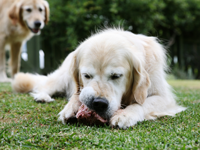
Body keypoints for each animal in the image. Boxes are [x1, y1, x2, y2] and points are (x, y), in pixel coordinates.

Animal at [12, 28, 186, 129]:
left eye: (116, 76)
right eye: (87, 75)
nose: (99, 103)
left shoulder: (164, 97)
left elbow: (142, 103)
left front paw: (126, 114)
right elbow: (77, 95)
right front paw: (70, 107)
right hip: (62, 77)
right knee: (46, 85)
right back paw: (42, 96)